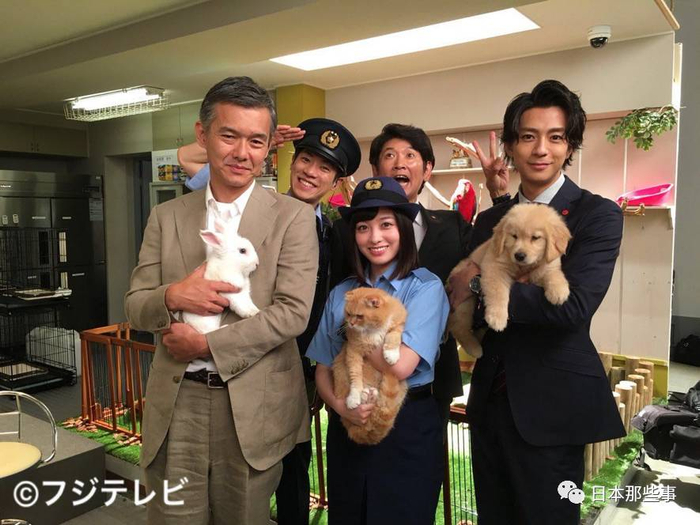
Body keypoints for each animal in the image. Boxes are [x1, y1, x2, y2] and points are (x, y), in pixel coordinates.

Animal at [332, 287, 408, 445]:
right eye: (348, 313)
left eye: (360, 316)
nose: (351, 324)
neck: (373, 329)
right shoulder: (353, 350)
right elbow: (355, 376)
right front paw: (354, 398)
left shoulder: (398, 325)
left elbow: (393, 336)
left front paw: (391, 354)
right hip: (340, 370)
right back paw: (366, 396)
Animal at [448, 203, 572, 358]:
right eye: (514, 236)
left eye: (535, 238)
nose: (519, 255)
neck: (522, 267)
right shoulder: (494, 268)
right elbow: (498, 293)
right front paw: (497, 318)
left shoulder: (547, 265)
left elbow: (553, 274)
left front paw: (559, 291)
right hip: (465, 303)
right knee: (459, 327)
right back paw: (475, 348)